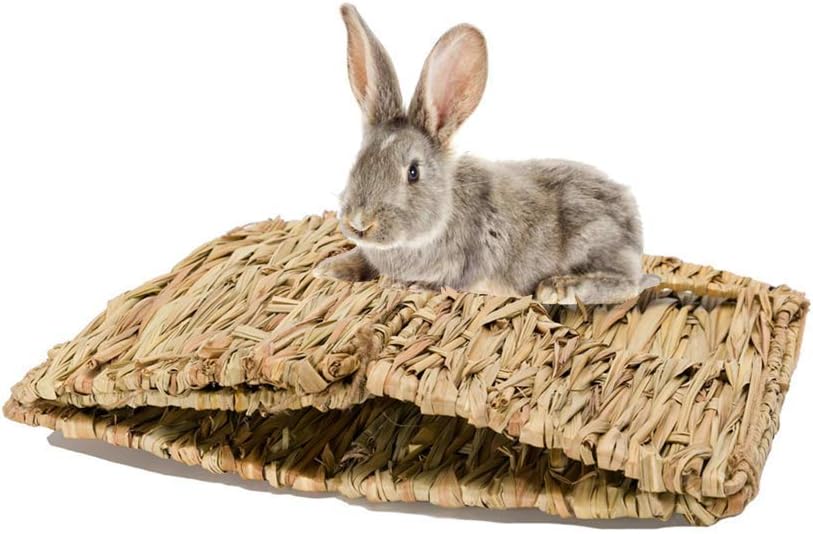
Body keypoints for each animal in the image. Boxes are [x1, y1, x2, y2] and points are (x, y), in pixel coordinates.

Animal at [314, 4, 659, 304]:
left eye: (413, 172)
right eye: (357, 162)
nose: (360, 223)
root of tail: (633, 221)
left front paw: (413, 287)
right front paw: (329, 268)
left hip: (594, 237)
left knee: (631, 284)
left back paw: (561, 288)